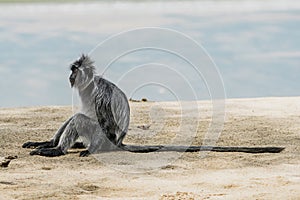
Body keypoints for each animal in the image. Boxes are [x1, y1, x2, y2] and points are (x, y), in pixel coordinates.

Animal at [22, 54, 284, 156]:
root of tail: (119, 142)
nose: (69, 77)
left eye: (74, 72)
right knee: (75, 117)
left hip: (106, 138)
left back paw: (58, 150)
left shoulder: (100, 95)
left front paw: (87, 150)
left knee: (80, 120)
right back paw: (48, 144)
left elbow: (104, 120)